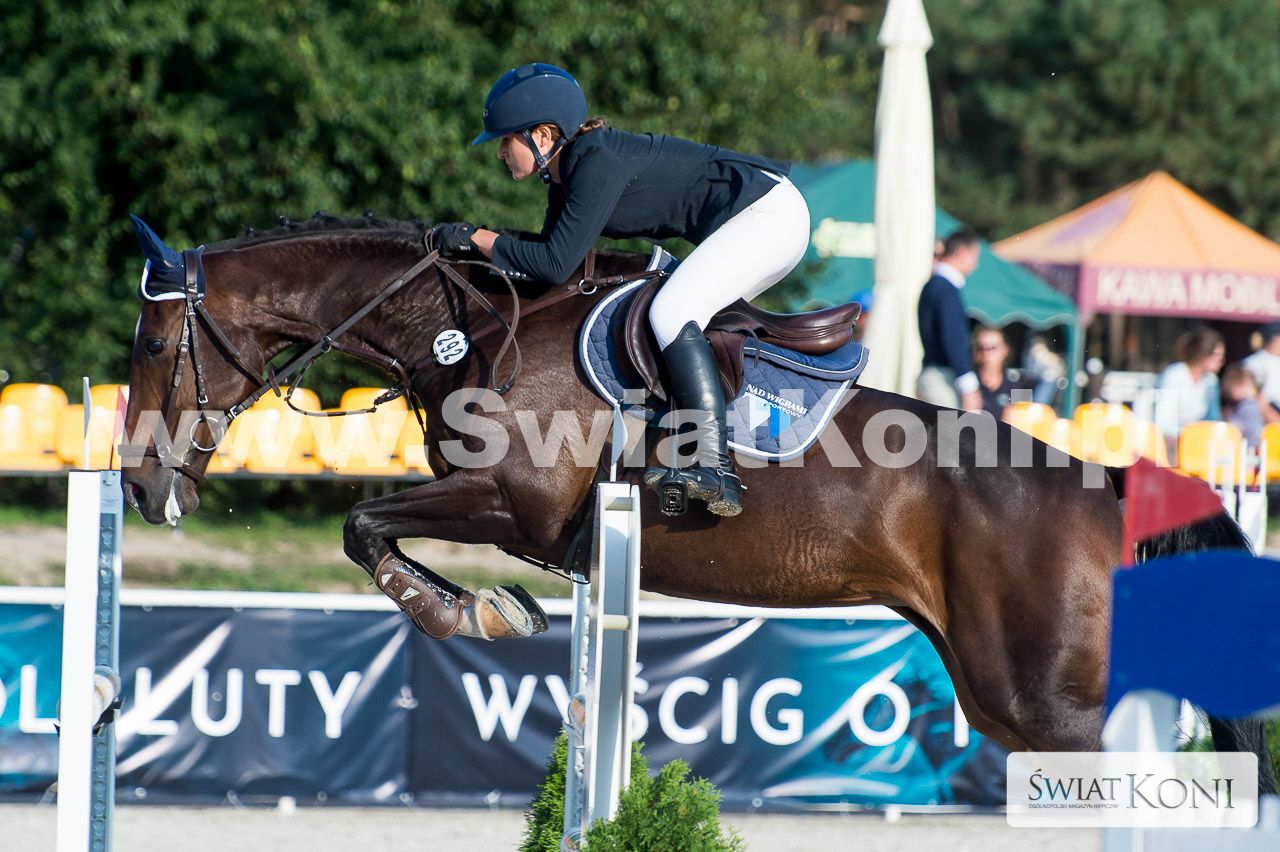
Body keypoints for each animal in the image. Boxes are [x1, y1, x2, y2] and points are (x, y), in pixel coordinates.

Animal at [119, 214, 1273, 782]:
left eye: (155, 344)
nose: (136, 483)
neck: (463, 325)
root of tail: (1114, 488)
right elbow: (370, 529)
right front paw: (488, 611)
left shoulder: (510, 504)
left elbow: (362, 523)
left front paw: (469, 614)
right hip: (1008, 700)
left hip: (1048, 708)